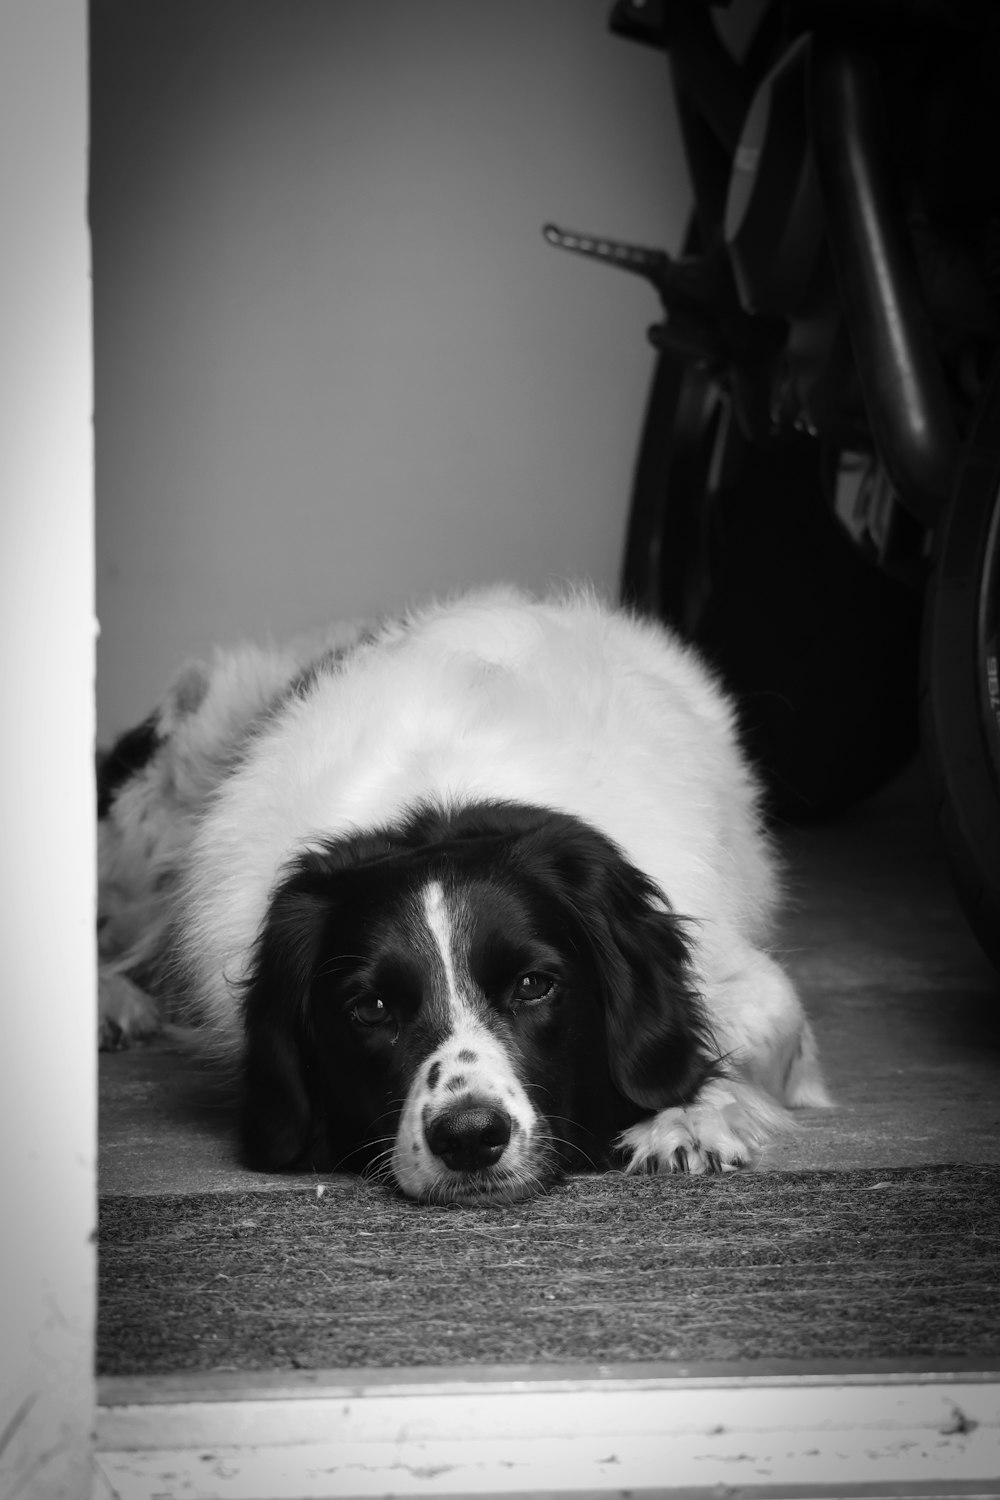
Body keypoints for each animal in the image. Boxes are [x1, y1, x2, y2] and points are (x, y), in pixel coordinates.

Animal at [97, 585, 827, 1206]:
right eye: (370, 1008)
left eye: (534, 985)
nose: (470, 1137)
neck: (442, 802)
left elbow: (757, 1026)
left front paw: (689, 1115)